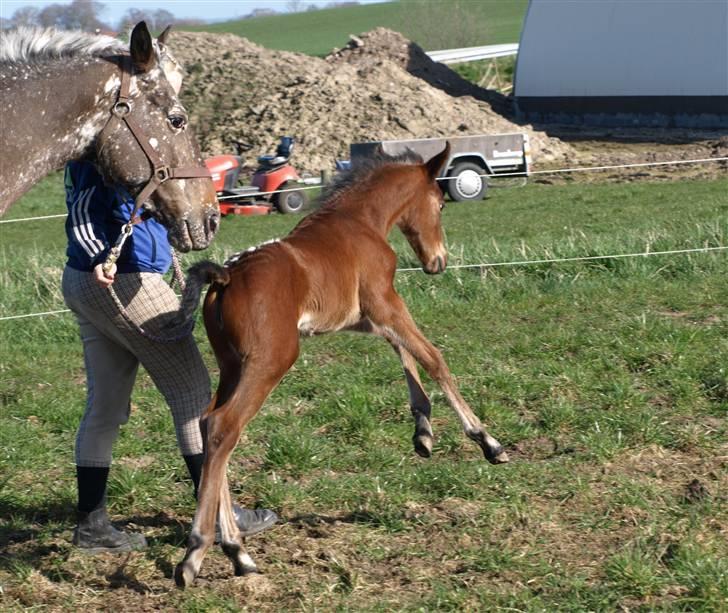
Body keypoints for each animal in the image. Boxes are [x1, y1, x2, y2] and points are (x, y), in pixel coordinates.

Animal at [173, 141, 510, 584]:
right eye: (440, 203)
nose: (438, 262)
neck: (359, 221)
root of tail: (225, 277)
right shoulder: (385, 302)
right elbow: (433, 358)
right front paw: (487, 441)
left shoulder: (363, 316)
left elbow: (403, 350)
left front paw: (423, 431)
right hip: (271, 360)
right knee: (224, 426)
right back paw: (199, 551)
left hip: (232, 366)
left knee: (209, 425)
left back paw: (238, 552)